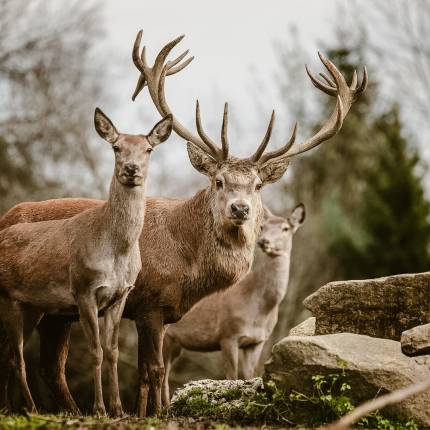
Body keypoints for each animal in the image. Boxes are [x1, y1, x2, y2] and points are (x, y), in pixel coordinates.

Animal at [0, 109, 173, 414]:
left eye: (148, 149)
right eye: (116, 147)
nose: (131, 169)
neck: (116, 252)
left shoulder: (120, 296)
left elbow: (113, 351)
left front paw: (118, 408)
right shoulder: (84, 290)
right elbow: (96, 351)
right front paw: (100, 408)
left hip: (32, 306)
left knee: (8, 353)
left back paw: (14, 408)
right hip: (8, 297)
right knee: (16, 357)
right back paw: (30, 408)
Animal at [161, 202, 306, 404]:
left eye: (286, 228)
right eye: (263, 227)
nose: (264, 242)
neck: (259, 309)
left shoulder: (257, 341)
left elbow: (250, 376)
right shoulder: (228, 334)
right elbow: (232, 377)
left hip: (176, 343)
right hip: (167, 336)